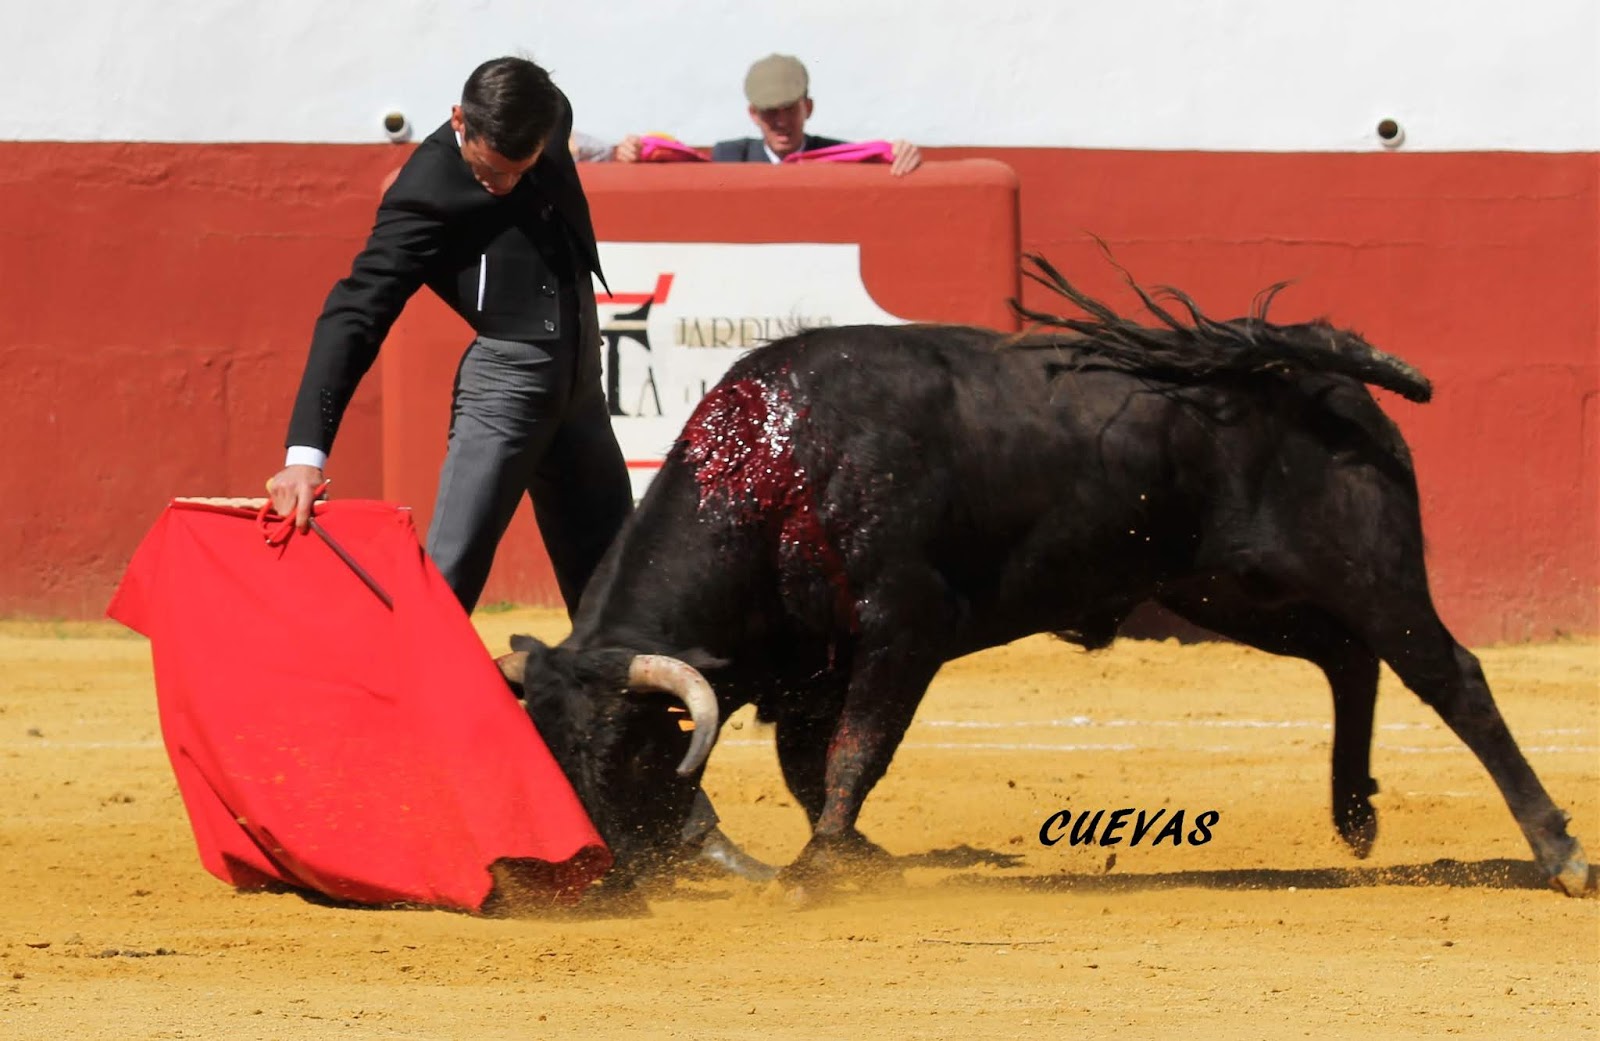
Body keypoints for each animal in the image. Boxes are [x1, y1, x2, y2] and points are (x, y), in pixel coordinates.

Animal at [496, 265, 1587, 901]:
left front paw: (813, 875)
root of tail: (1315, 369)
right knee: (1346, 659)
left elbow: (851, 755)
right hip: (1226, 588)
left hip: (1366, 567)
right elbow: (812, 770)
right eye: (543, 751)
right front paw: (855, 860)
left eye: (626, 747)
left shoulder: (903, 631)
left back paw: (1557, 853)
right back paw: (1353, 815)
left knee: (1451, 678)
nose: (599, 880)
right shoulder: (812, 668)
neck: (785, 477)